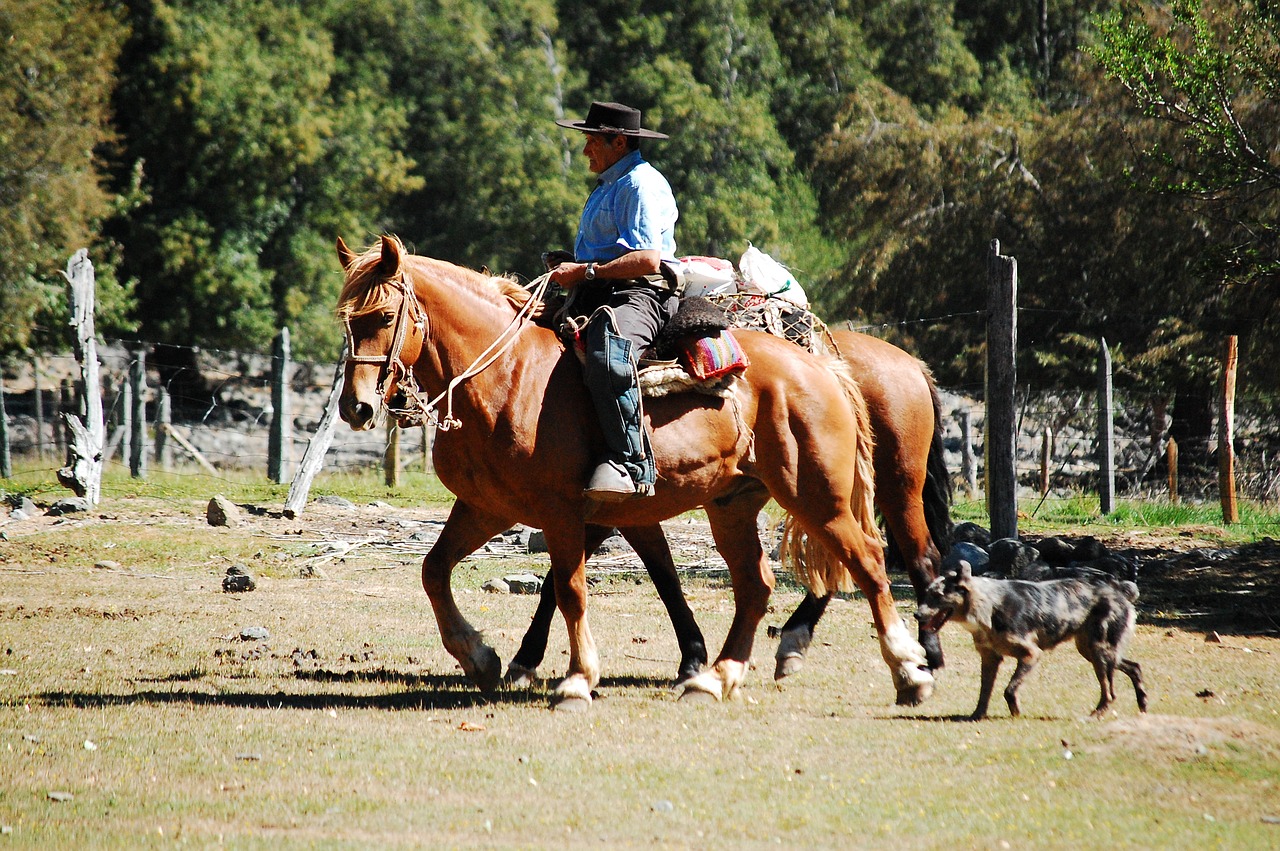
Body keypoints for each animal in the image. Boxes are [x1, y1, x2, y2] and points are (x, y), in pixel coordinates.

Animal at [506, 330, 952, 685]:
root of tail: (912, 365)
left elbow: (562, 580)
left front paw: (525, 659)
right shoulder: (625, 512)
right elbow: (661, 574)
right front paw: (693, 656)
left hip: (889, 487)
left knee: (911, 555)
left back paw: (924, 654)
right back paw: (796, 643)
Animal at [911, 560, 1152, 721]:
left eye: (937, 596)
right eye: (927, 594)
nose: (916, 615)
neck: (988, 606)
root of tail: (1120, 591)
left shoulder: (1031, 654)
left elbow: (1009, 690)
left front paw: (1016, 713)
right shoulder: (990, 659)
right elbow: (984, 693)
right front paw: (976, 716)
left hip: (1099, 652)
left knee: (1110, 693)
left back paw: (1094, 715)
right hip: (1092, 651)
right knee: (1135, 667)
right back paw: (1142, 704)